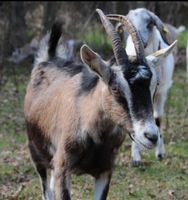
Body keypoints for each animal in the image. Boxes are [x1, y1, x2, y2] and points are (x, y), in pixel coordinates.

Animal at [108, 7, 178, 166]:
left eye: (149, 23)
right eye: (128, 23)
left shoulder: (161, 92)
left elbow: (157, 118)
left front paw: (160, 153)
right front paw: (135, 157)